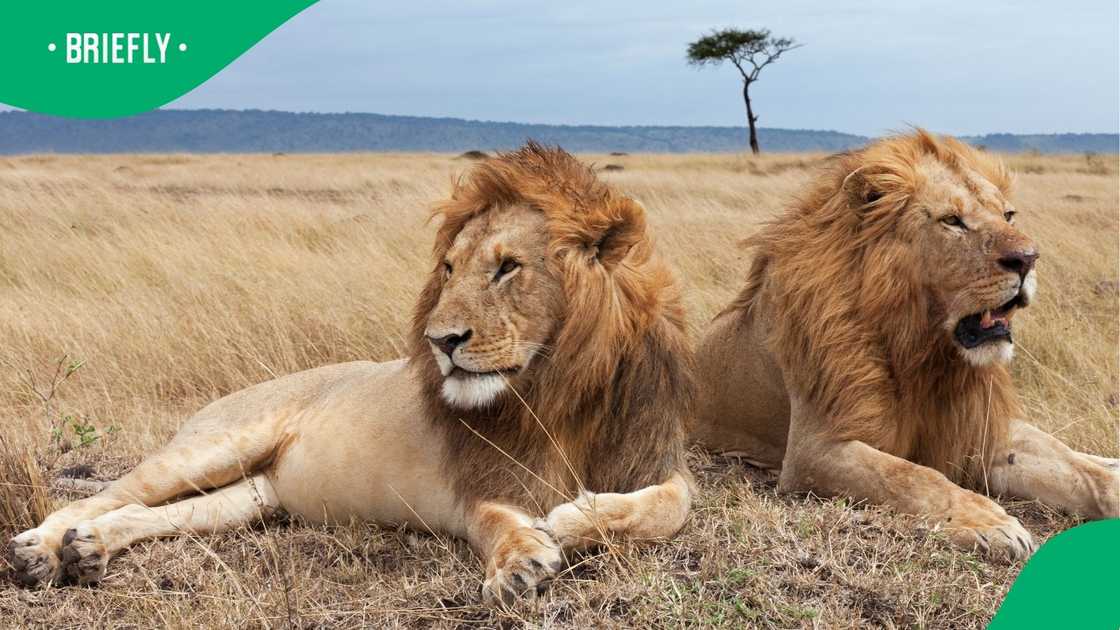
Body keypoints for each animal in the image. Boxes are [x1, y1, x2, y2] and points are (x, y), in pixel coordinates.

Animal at [8, 143, 695, 602]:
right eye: (448, 269)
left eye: (508, 267)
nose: (440, 341)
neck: (556, 393)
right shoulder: (475, 487)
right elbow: (502, 520)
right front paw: (523, 559)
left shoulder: (659, 461)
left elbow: (669, 507)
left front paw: (571, 519)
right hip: (215, 445)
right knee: (103, 495)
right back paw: (40, 552)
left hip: (253, 497)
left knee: (147, 515)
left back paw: (87, 551)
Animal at [694, 130, 1119, 560]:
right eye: (952, 221)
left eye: (1008, 216)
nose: (1028, 259)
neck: (924, 348)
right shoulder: (812, 451)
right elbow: (913, 475)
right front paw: (989, 522)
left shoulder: (977, 428)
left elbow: (1076, 470)